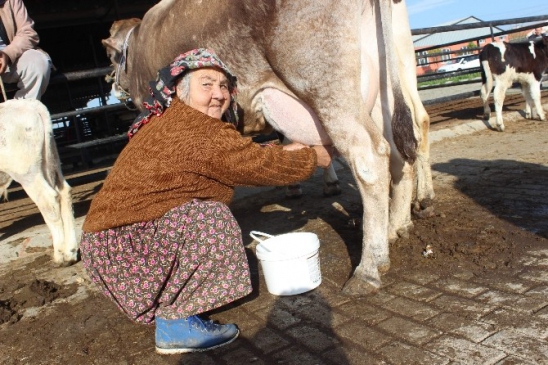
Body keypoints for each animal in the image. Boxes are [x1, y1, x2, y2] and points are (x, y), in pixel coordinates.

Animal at [98, 0, 432, 294]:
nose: (112, 85)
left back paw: (369, 267)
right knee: (400, 149)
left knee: (370, 156)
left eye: (112, 57)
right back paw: (394, 228)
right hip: (381, 88)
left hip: (327, 83)